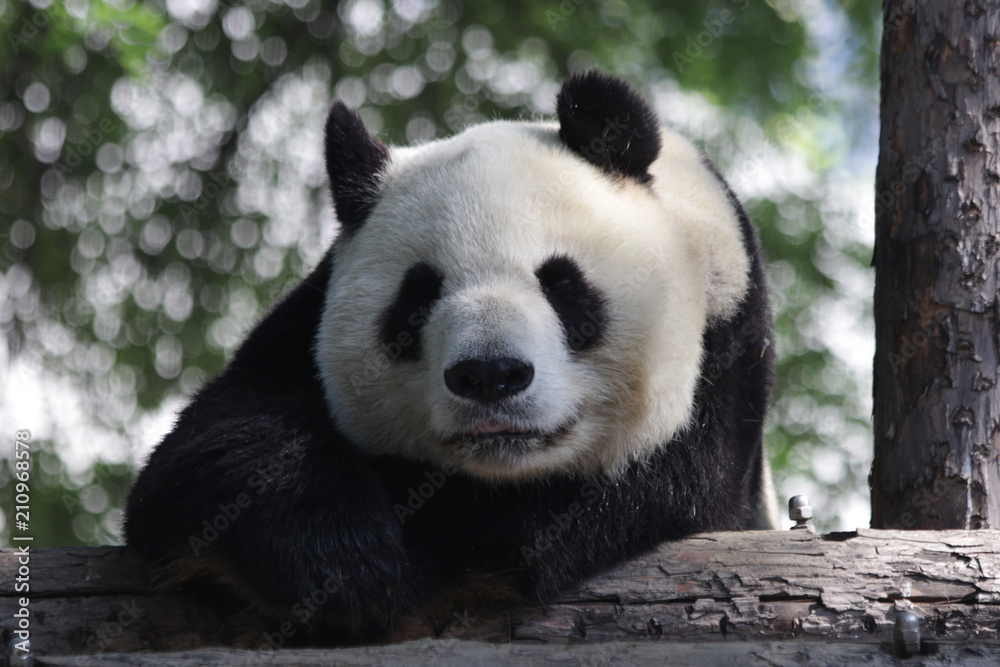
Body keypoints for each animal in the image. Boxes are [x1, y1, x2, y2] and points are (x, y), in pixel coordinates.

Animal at [125, 71, 776, 639]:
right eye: (417, 300)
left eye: (562, 285)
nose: (489, 376)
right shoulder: (296, 326)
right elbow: (212, 449)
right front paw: (334, 553)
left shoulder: (723, 371)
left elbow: (521, 528)